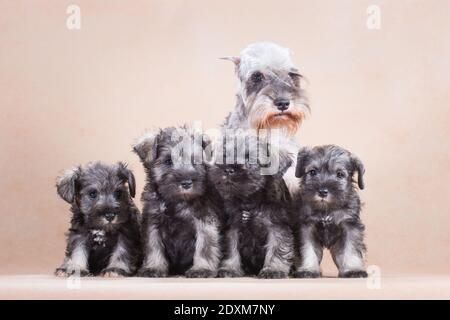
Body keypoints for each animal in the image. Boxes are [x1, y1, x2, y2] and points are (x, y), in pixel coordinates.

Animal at [133, 125, 221, 278]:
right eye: (168, 161)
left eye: (195, 161)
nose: (186, 183)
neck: (178, 201)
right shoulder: (152, 223)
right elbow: (153, 246)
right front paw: (153, 267)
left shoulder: (204, 222)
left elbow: (204, 247)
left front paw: (201, 269)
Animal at [208, 132, 294, 278]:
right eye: (224, 155)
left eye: (250, 159)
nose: (228, 169)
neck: (249, 199)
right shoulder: (233, 228)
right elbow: (231, 249)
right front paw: (230, 269)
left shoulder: (277, 227)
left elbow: (277, 248)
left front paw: (273, 269)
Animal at [294, 145, 368, 278]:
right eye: (312, 172)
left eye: (339, 174)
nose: (323, 192)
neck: (327, 209)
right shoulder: (307, 228)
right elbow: (308, 249)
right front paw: (308, 269)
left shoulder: (350, 226)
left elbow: (351, 249)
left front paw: (353, 269)